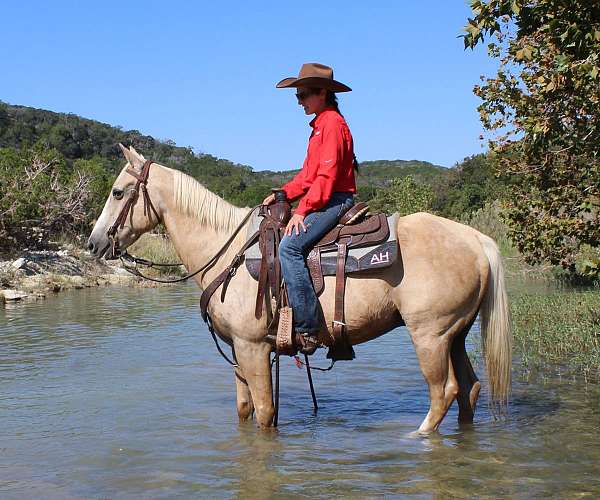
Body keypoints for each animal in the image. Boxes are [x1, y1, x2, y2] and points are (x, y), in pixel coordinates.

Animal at [88, 145, 510, 434]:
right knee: (469, 389)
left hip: (430, 335)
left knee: (444, 392)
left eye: (118, 192)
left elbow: (264, 414)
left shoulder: (253, 348)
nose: (94, 243)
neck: (225, 251)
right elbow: (245, 411)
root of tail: (476, 239)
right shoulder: (239, 351)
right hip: (455, 334)